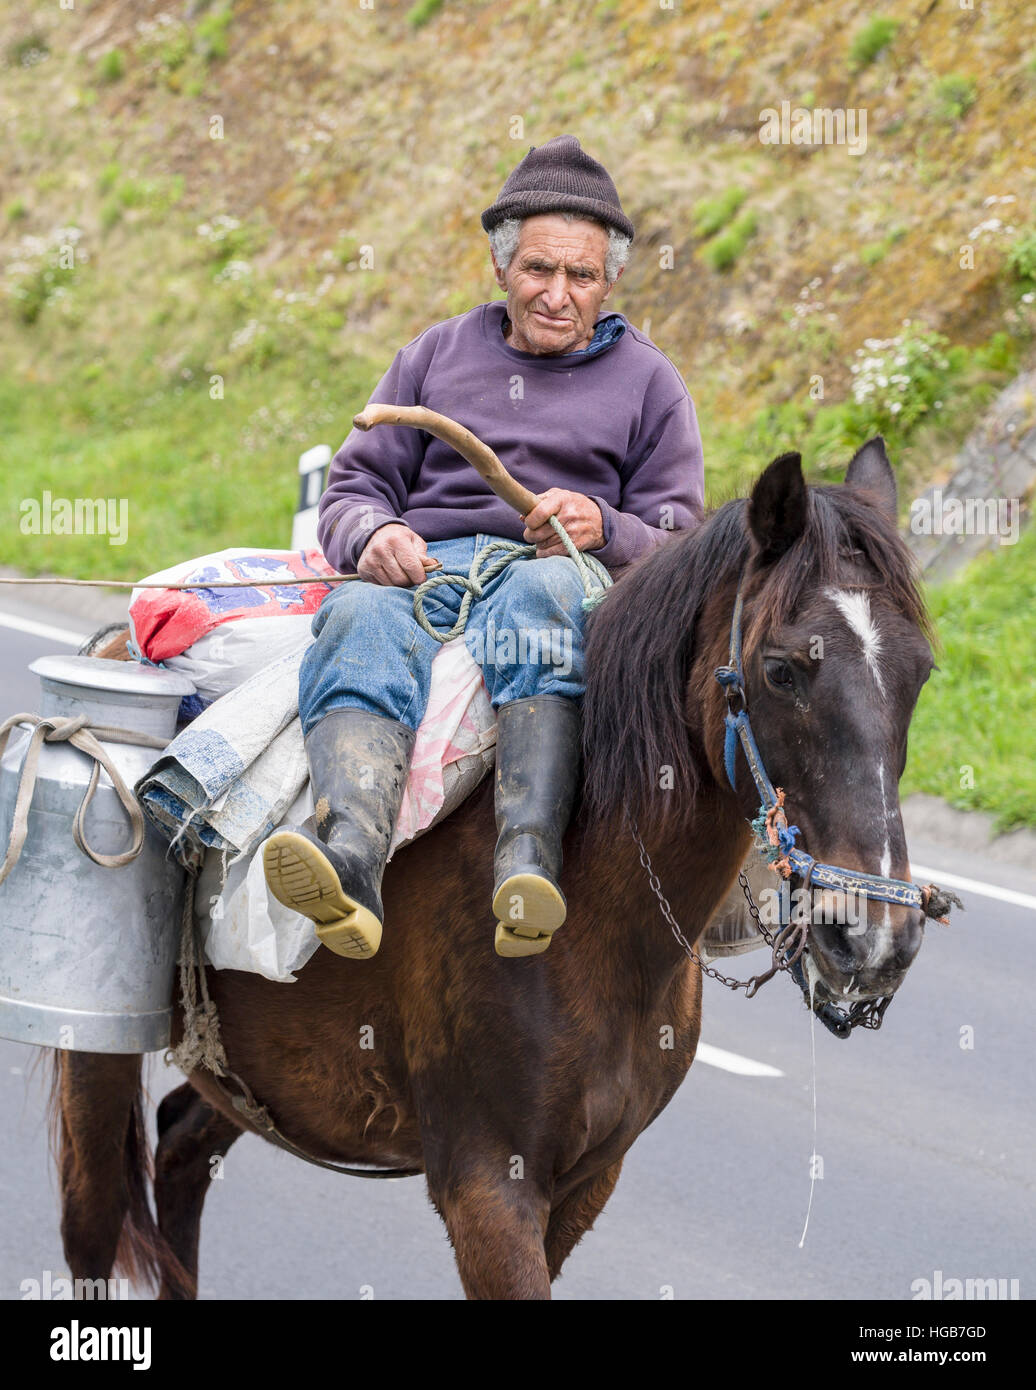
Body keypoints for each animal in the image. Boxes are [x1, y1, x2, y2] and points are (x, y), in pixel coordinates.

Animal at [46, 436, 928, 1301]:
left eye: (921, 672)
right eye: (783, 670)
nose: (874, 941)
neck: (601, 920)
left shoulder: (586, 1185)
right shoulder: (488, 1192)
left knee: (180, 1152)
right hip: (98, 1049)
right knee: (92, 1224)